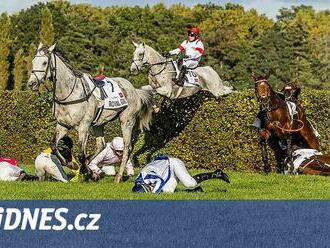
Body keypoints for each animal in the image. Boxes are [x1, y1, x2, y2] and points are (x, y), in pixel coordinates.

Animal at [27, 43, 153, 182]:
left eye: (44, 63)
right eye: (33, 61)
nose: (31, 83)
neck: (68, 93)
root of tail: (135, 90)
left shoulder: (84, 126)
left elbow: (81, 154)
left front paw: (86, 171)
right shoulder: (63, 125)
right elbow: (54, 145)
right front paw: (70, 163)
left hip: (126, 121)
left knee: (127, 148)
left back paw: (118, 177)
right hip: (99, 124)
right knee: (101, 145)